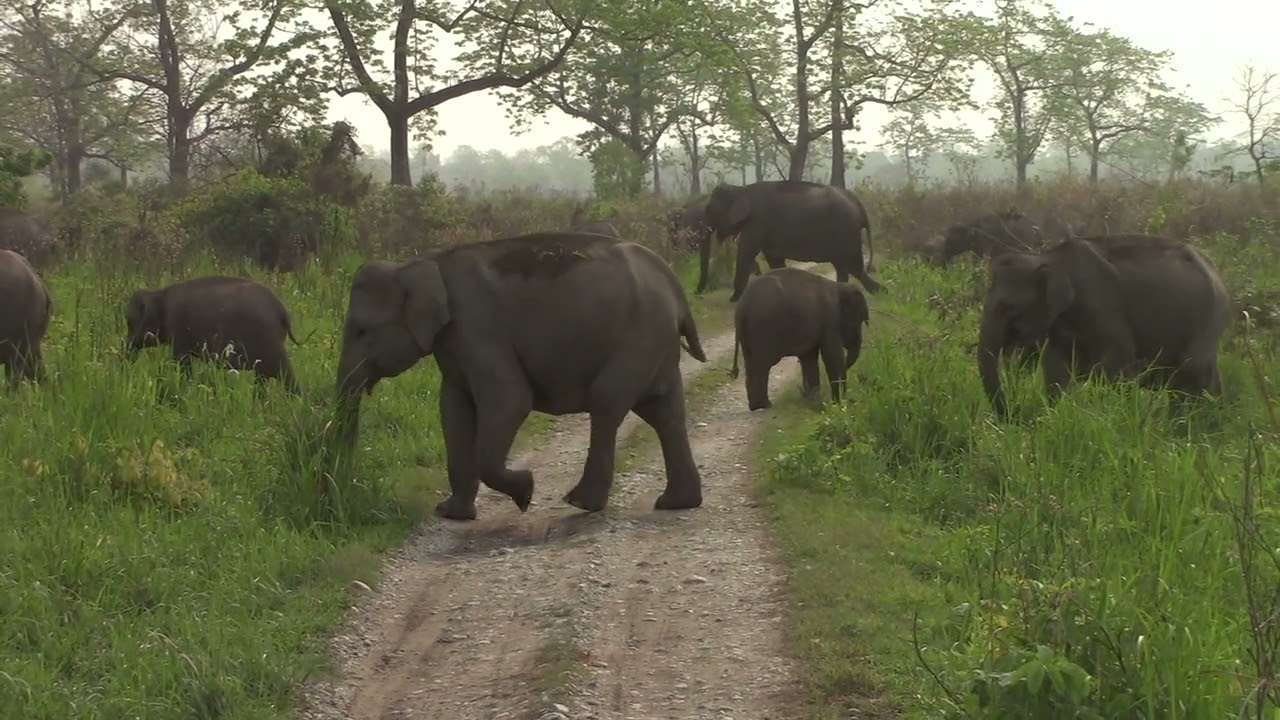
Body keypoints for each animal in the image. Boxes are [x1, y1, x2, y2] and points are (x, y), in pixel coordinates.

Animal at [125, 275, 303, 394]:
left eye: (130, 322)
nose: (126, 355)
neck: (160, 294)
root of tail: (283, 312)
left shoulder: (178, 328)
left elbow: (182, 361)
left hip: (270, 343)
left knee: (286, 375)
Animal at [333, 230, 708, 522]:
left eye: (362, 331)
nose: (344, 479)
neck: (423, 264)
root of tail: (673, 283)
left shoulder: (479, 329)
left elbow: (510, 400)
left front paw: (526, 492)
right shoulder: (453, 343)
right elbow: (453, 408)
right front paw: (452, 514)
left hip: (639, 336)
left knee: (607, 402)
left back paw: (580, 502)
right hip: (654, 344)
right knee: (664, 413)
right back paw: (676, 503)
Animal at [699, 180, 880, 301]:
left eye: (709, 209)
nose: (698, 293)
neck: (741, 189)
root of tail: (858, 204)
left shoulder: (757, 222)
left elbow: (746, 253)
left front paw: (734, 299)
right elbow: (774, 259)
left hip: (845, 231)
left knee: (851, 266)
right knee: (850, 267)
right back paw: (876, 291)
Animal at [730, 267, 869, 411]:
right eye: (858, 321)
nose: (847, 398)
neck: (838, 287)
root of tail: (742, 307)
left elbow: (809, 358)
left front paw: (814, 398)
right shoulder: (830, 319)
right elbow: (832, 357)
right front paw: (836, 402)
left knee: (751, 361)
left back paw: (757, 406)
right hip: (762, 328)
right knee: (762, 363)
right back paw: (764, 405)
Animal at [977, 234, 1231, 418]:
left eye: (1006, 308)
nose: (1016, 412)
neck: (1049, 259)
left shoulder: (1102, 305)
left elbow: (1118, 362)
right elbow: (1055, 367)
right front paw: (1052, 416)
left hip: (1208, 316)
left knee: (1191, 371)